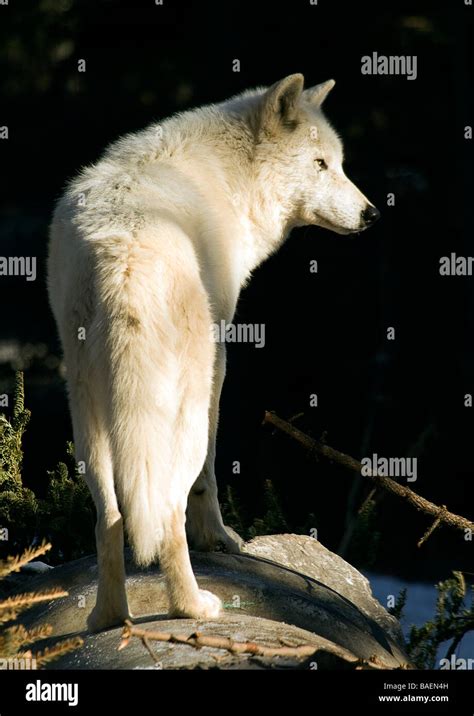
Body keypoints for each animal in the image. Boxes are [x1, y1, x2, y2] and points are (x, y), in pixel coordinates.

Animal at [48, 75, 380, 628]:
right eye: (320, 164)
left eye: (339, 163)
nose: (371, 214)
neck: (230, 178)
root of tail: (124, 258)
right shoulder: (222, 358)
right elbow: (209, 474)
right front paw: (222, 540)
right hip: (180, 406)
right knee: (166, 510)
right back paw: (194, 608)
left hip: (87, 413)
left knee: (110, 516)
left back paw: (109, 619)